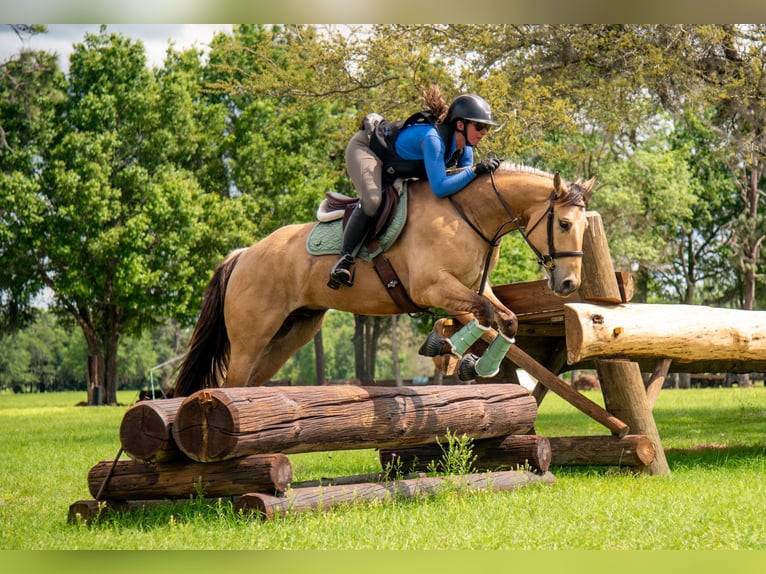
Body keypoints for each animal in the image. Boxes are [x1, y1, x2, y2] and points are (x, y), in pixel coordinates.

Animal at [172, 162, 595, 396]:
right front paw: (446, 349)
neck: (469, 214)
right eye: (563, 224)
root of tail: (243, 254)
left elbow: (502, 319)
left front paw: (471, 364)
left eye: (583, 226)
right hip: (251, 338)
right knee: (229, 385)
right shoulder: (431, 287)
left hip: (289, 336)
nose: (568, 285)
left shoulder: (474, 288)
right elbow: (483, 316)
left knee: (247, 385)